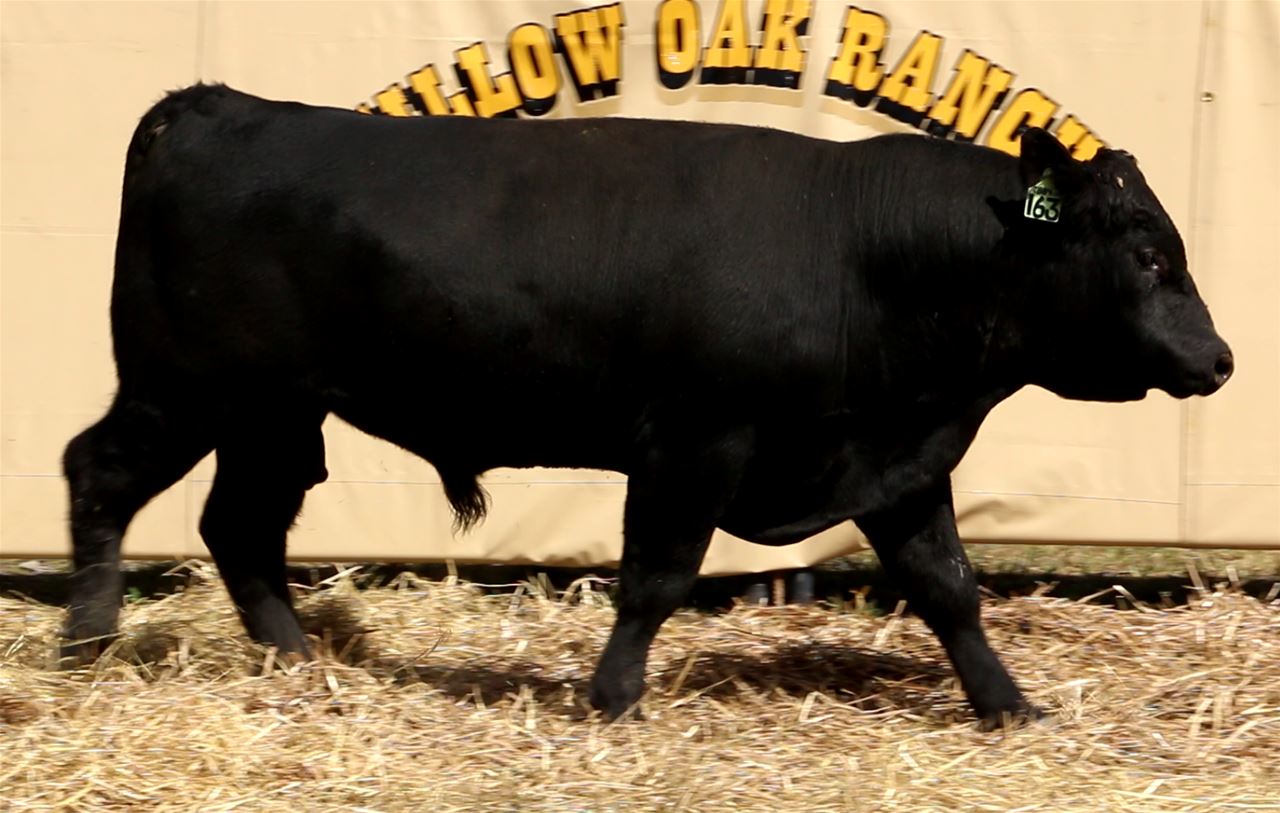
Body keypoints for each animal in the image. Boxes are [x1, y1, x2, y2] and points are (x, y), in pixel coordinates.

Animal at [61, 83, 1232, 729]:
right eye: (1145, 255)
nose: (1219, 359)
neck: (863, 249)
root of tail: (216, 106)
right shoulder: (692, 444)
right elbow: (655, 577)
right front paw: (613, 696)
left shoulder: (896, 458)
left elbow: (947, 588)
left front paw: (1007, 704)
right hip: (183, 389)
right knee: (99, 474)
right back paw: (85, 641)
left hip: (269, 416)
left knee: (241, 527)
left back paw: (296, 662)